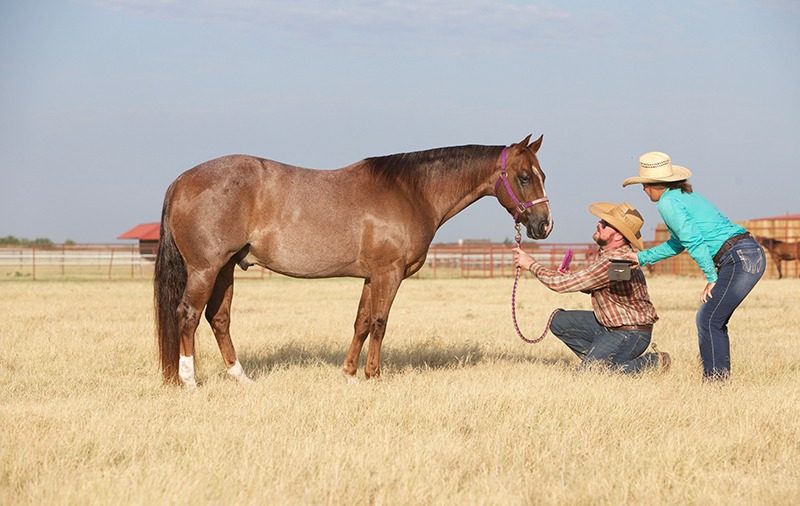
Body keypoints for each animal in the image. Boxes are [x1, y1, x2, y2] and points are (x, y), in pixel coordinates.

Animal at [154, 134, 553, 388]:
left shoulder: (371, 276)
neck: (411, 192)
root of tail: (181, 180)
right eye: (523, 176)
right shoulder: (389, 273)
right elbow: (379, 322)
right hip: (206, 268)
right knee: (188, 315)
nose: (544, 225)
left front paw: (348, 374)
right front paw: (373, 375)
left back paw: (241, 378)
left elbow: (361, 322)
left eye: (542, 174)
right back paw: (189, 380)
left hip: (225, 268)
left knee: (218, 319)